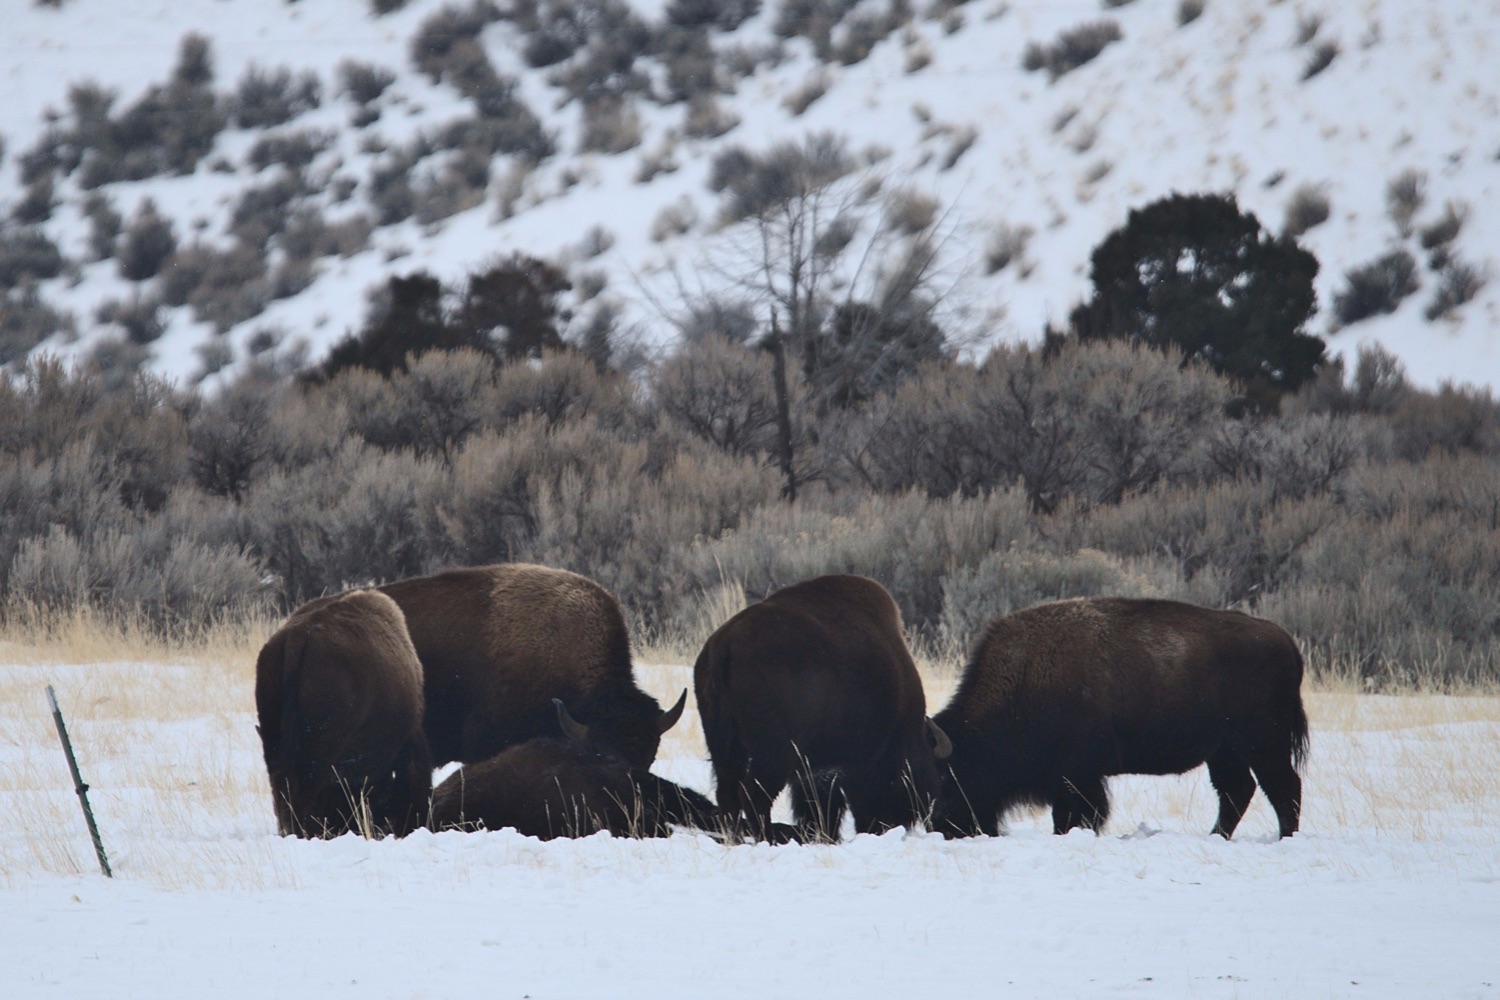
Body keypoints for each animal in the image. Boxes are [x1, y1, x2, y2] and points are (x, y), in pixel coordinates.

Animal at [690, 575, 948, 839]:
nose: (931, 809)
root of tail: (726, 642)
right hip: (774, 753)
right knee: (753, 794)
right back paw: (767, 838)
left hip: (726, 747)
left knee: (728, 792)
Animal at [930, 599, 1308, 839]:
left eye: (951, 777)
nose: (942, 827)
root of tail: (1287, 641)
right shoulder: (1068, 779)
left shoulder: (1078, 777)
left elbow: (1079, 813)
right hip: (1224, 751)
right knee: (1237, 791)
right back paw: (1216, 836)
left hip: (1263, 743)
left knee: (1283, 786)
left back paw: (1284, 837)